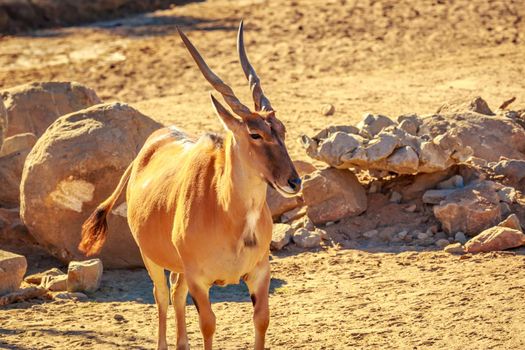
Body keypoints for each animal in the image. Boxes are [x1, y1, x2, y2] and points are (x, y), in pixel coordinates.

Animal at [77, 21, 298, 350]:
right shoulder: (200, 281)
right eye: (255, 134)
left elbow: (262, 320)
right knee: (162, 295)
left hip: (178, 268)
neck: (228, 214)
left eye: (282, 129)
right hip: (151, 258)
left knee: (175, 290)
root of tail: (149, 146)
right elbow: (208, 325)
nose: (294, 180)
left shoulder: (259, 273)